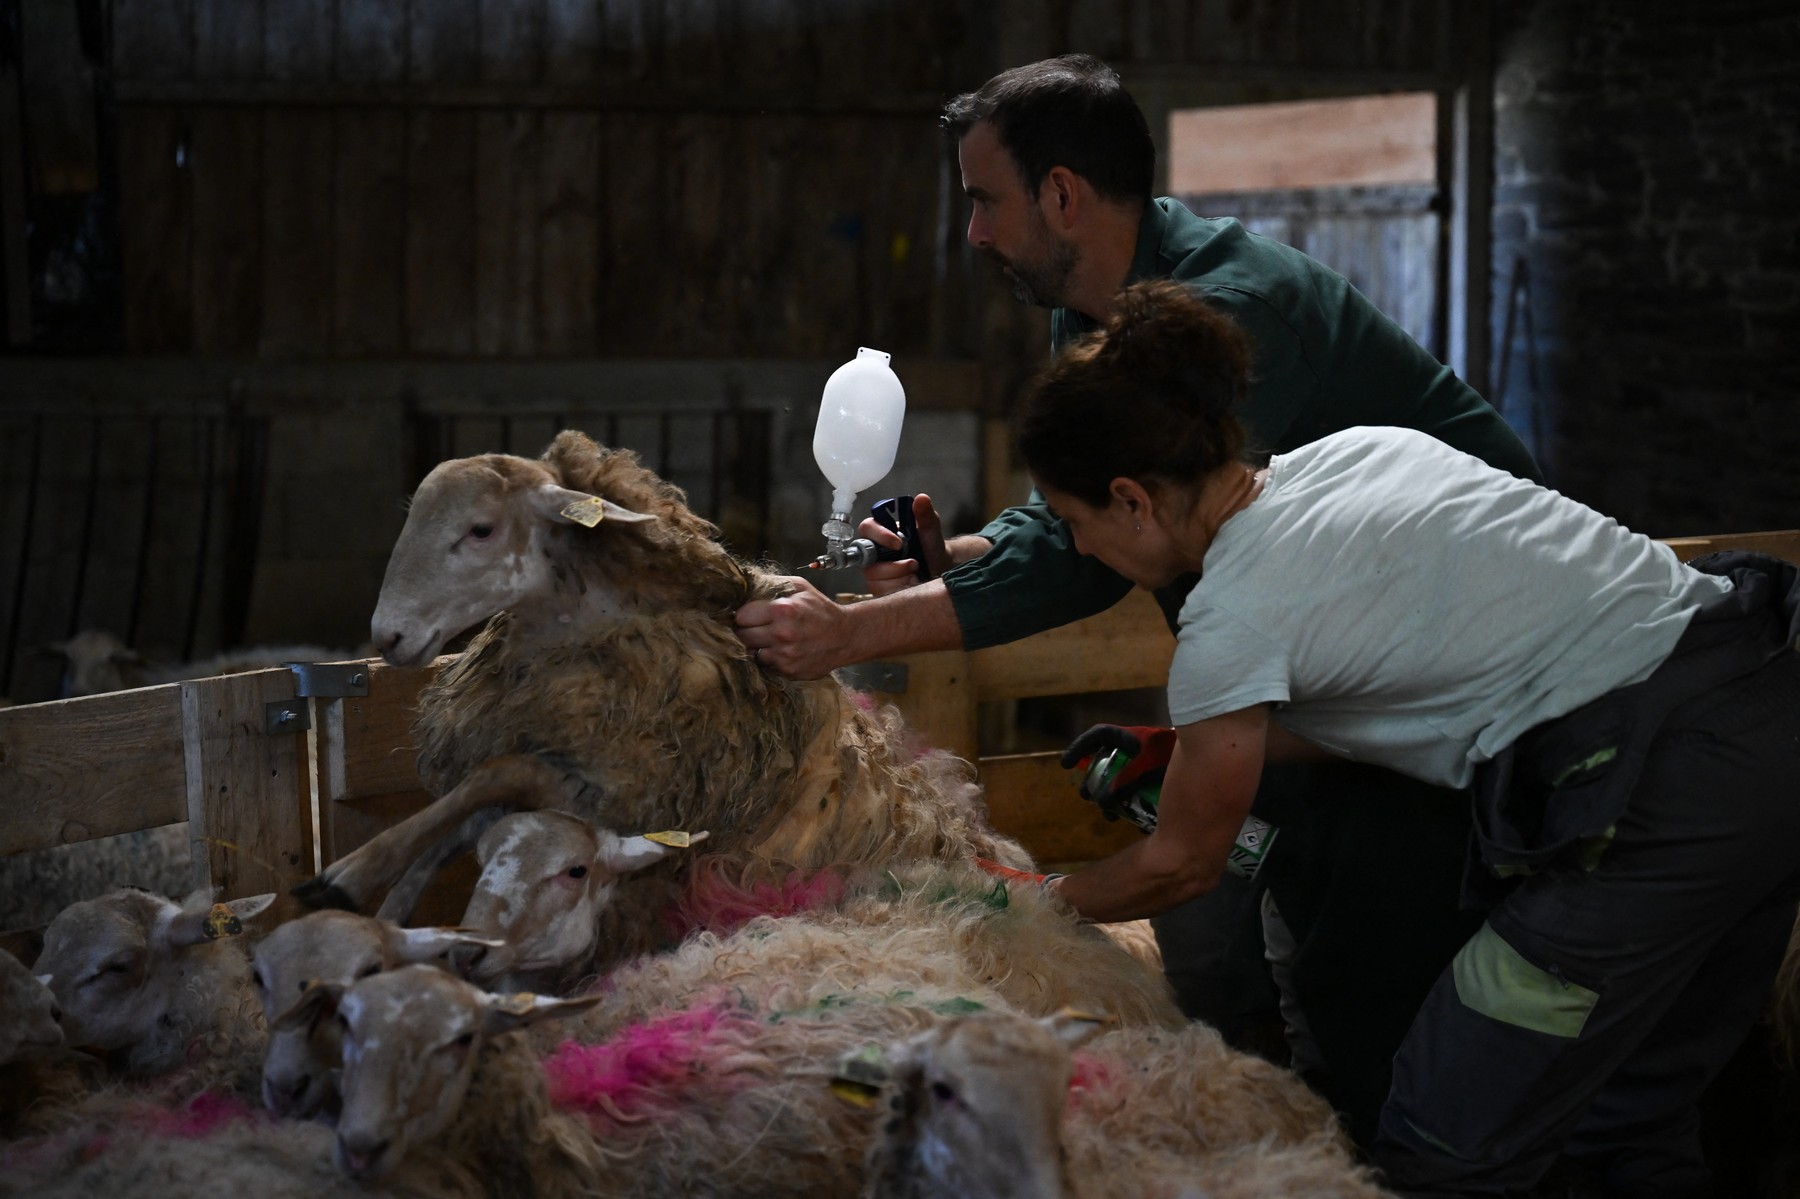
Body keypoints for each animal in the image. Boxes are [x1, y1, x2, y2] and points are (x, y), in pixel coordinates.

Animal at [295, 432, 1035, 941]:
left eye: (480, 530)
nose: (387, 635)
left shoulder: (624, 791)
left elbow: (492, 777)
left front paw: (348, 874)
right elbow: (461, 816)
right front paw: (387, 907)